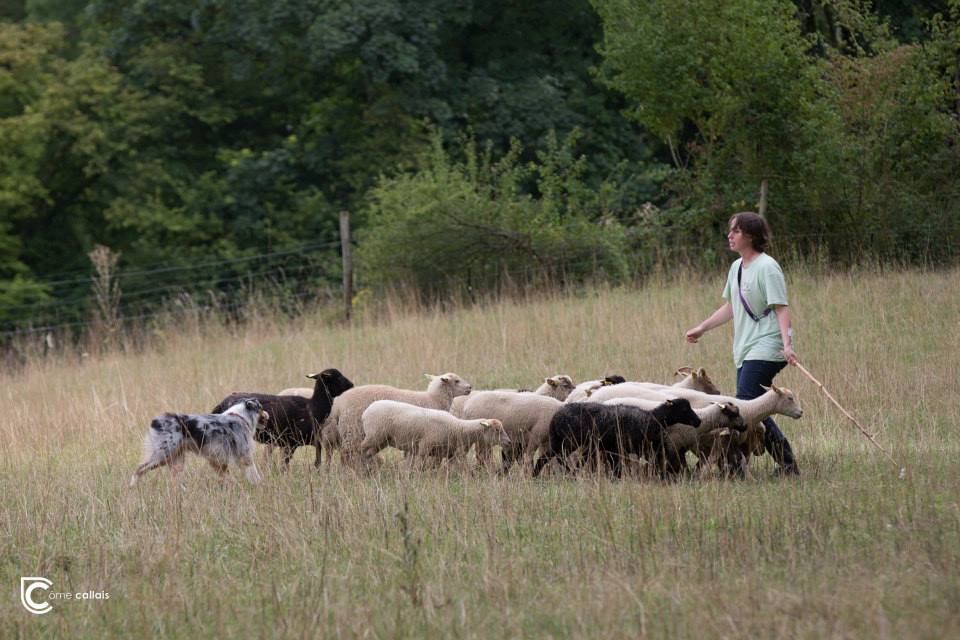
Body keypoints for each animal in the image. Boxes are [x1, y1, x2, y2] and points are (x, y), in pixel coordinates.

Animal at [129, 398, 268, 488]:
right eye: (261, 407)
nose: (268, 415)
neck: (241, 417)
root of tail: (156, 421)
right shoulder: (244, 455)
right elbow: (254, 474)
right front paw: (259, 485)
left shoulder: (217, 459)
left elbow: (224, 476)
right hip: (163, 454)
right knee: (139, 469)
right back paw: (132, 487)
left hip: (176, 460)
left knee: (174, 481)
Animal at [212, 368, 354, 468]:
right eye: (338, 378)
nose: (352, 385)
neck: (313, 405)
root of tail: (221, 404)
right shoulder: (291, 443)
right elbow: (285, 465)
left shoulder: (308, 440)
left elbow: (317, 460)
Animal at [322, 370, 472, 464]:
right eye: (457, 381)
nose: (470, 387)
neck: (432, 398)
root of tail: (338, 403)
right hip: (352, 430)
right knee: (347, 453)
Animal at [360, 400, 510, 464]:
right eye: (497, 430)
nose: (509, 441)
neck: (458, 429)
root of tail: (366, 411)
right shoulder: (424, 447)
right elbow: (420, 466)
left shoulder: (444, 453)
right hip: (374, 436)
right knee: (360, 449)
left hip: (381, 440)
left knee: (368, 453)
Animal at [532, 398, 696, 478]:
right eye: (684, 409)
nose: (698, 421)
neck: (653, 417)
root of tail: (556, 417)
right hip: (568, 441)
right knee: (558, 457)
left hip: (559, 441)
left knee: (546, 458)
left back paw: (536, 474)